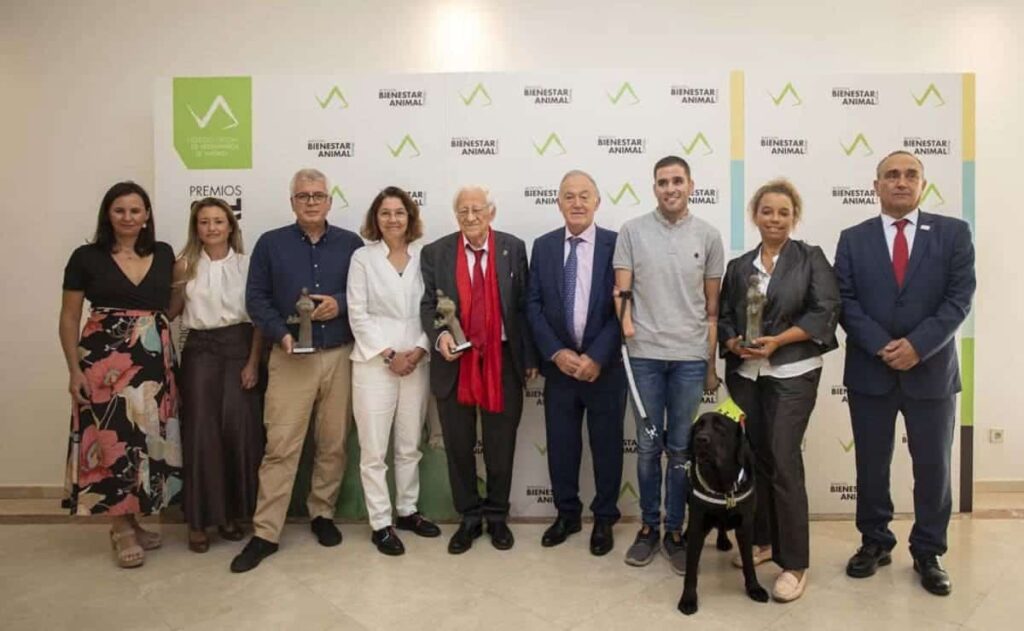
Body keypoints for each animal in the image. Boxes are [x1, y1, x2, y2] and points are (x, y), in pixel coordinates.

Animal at [679, 409, 770, 614]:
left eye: (720, 427)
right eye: (698, 427)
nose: (700, 439)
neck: (722, 484)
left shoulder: (745, 526)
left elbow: (748, 563)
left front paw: (754, 588)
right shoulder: (698, 524)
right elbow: (691, 568)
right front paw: (688, 599)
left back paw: (723, 540)